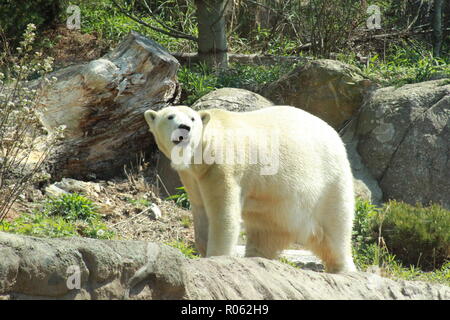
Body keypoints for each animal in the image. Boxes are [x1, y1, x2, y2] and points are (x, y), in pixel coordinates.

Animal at [144, 105, 356, 272]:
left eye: (192, 118)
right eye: (170, 116)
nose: (185, 128)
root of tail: (334, 134)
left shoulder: (223, 166)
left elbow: (224, 215)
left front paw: (215, 257)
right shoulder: (192, 176)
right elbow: (200, 209)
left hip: (329, 178)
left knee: (335, 227)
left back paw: (342, 269)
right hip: (277, 207)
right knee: (266, 233)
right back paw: (256, 258)